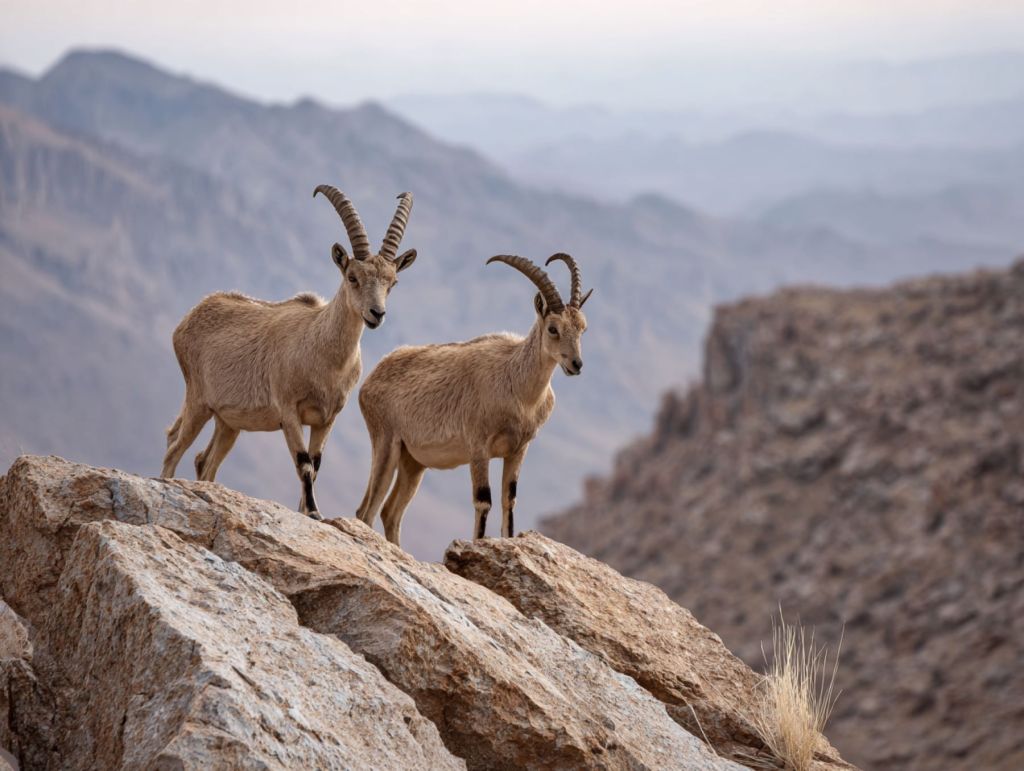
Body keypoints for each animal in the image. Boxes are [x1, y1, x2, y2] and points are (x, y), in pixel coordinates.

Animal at [160, 185, 418, 519]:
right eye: (352, 277)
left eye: (392, 282)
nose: (376, 314)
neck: (322, 353)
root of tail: (190, 317)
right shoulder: (289, 411)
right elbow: (303, 463)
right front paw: (314, 512)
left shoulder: (326, 419)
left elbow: (316, 464)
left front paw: (307, 511)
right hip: (198, 400)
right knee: (174, 446)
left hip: (228, 421)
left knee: (204, 459)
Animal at [355, 253, 592, 545]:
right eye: (553, 328)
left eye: (582, 328)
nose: (576, 364)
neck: (517, 387)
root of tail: (370, 379)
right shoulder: (479, 447)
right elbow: (484, 501)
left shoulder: (517, 450)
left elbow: (508, 501)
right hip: (385, 443)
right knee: (367, 511)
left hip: (413, 461)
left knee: (390, 512)